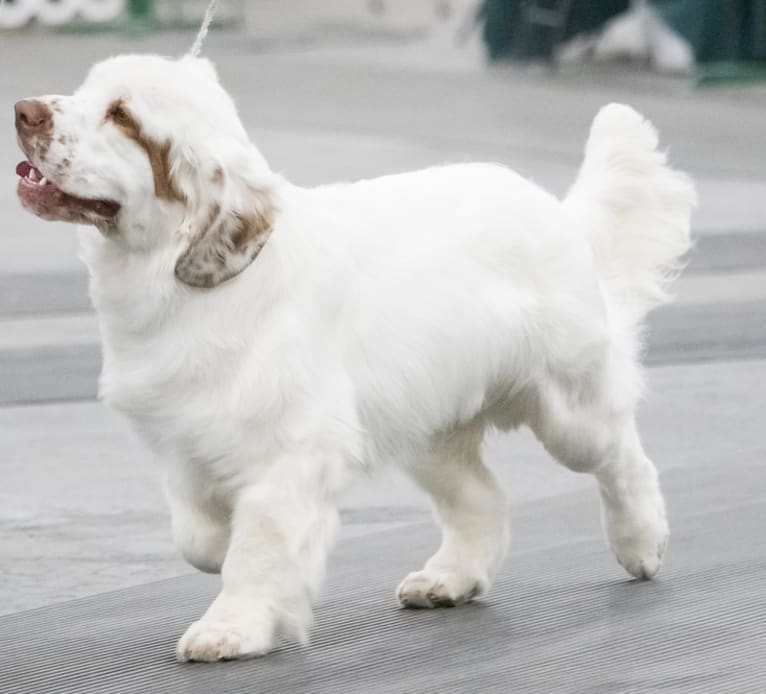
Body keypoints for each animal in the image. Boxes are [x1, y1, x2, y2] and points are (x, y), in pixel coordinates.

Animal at [13, 53, 696, 664]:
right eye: (87, 89)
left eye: (122, 116)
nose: (22, 110)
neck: (176, 283)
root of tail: (557, 212)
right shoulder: (182, 442)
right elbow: (199, 537)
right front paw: (229, 559)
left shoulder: (288, 452)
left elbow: (258, 547)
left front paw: (232, 630)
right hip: (428, 428)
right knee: (481, 500)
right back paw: (449, 579)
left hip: (569, 410)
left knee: (624, 460)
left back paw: (642, 544)